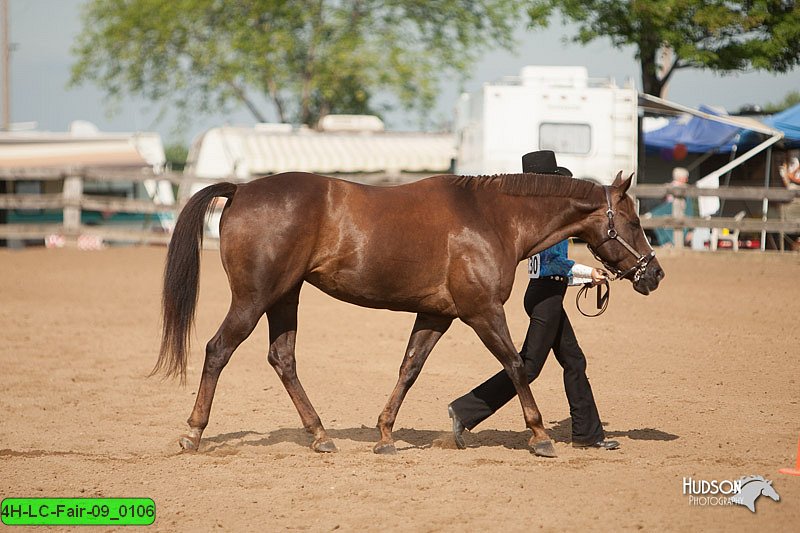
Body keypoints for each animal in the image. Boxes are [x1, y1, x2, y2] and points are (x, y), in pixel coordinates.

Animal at [155, 170, 664, 458]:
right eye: (634, 221)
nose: (654, 274)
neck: (492, 218)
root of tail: (241, 189)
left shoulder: (436, 315)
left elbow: (409, 369)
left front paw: (385, 436)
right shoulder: (482, 312)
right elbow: (517, 365)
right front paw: (539, 436)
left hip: (285, 297)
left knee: (283, 359)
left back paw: (320, 435)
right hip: (255, 297)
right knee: (218, 350)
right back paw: (193, 435)